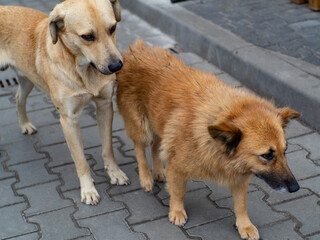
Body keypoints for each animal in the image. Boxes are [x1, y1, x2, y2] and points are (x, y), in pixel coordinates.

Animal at [0, 0, 130, 205]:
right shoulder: (69, 119)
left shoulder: (104, 105)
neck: (83, 70)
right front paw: (88, 189)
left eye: (112, 28)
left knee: (19, 98)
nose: (117, 66)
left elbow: (108, 148)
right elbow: (81, 161)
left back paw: (25, 124)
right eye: (87, 37)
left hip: (28, 78)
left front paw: (114, 172)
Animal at [116, 40, 302, 239]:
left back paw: (158, 171)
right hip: (142, 127)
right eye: (267, 155)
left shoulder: (239, 177)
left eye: (285, 150)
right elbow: (178, 192)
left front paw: (244, 225)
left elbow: (241, 205)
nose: (295, 188)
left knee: (155, 146)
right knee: (139, 149)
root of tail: (136, 49)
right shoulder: (177, 167)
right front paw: (177, 211)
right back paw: (146, 178)